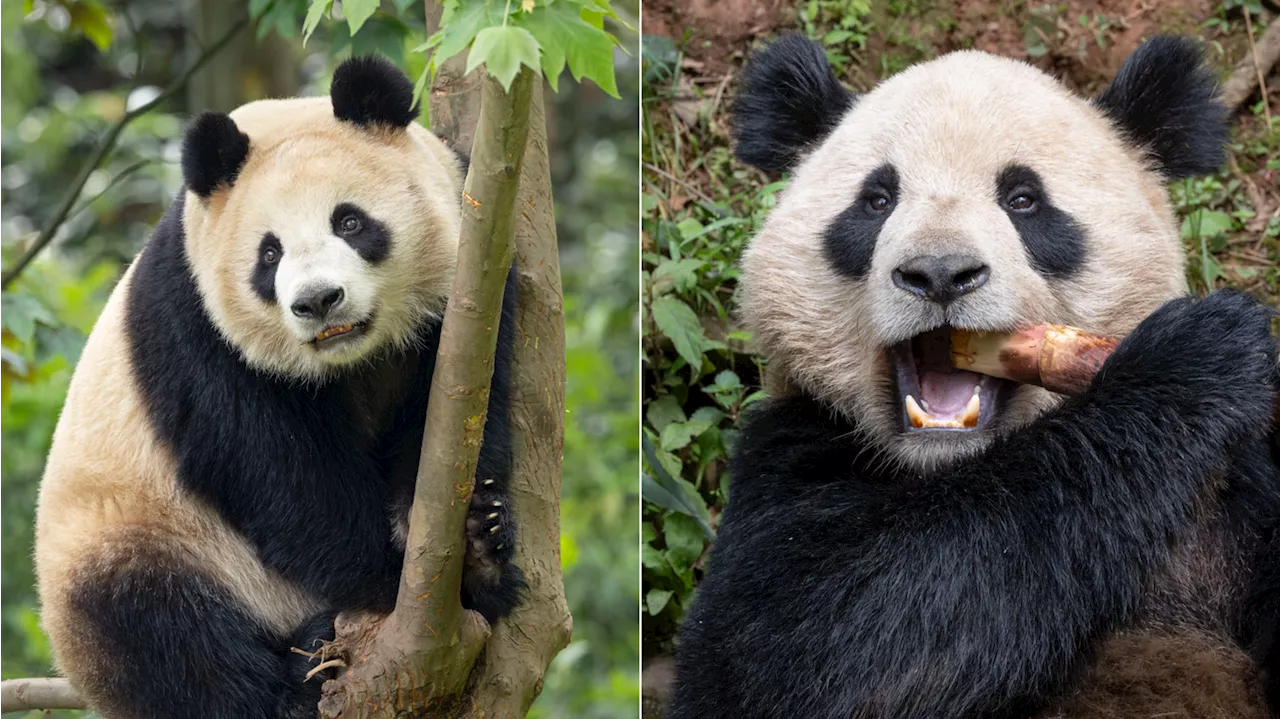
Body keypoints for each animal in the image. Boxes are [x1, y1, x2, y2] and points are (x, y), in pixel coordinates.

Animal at [35, 55, 524, 716]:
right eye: (269, 254)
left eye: (350, 221)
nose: (317, 301)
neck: (352, 361)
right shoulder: (196, 325)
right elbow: (280, 473)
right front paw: (390, 574)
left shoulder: (475, 276)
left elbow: (456, 414)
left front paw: (474, 544)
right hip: (131, 534)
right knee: (160, 633)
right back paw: (299, 675)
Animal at [665, 35, 1280, 716]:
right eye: (877, 200)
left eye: (1023, 199)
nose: (939, 273)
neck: (953, 468)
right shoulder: (789, 447)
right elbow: (811, 644)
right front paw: (1192, 357)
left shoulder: (1238, 488)